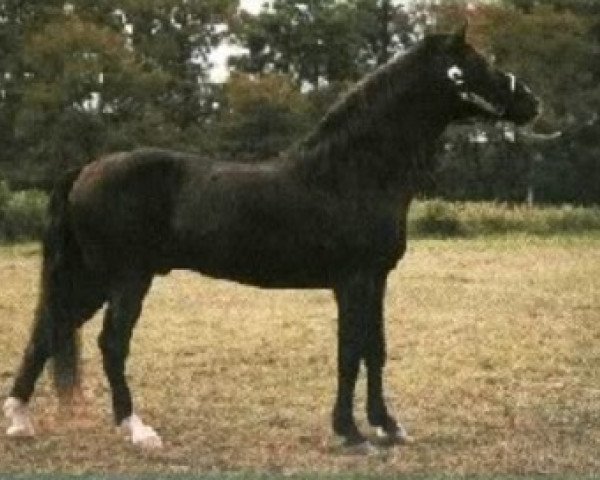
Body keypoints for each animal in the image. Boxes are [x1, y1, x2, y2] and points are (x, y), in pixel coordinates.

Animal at [3, 29, 540, 450]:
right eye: (477, 64)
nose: (531, 102)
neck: (350, 173)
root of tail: (85, 169)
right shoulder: (352, 281)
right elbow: (350, 351)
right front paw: (350, 433)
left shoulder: (377, 280)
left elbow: (375, 349)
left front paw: (387, 426)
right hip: (125, 279)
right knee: (110, 343)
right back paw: (136, 429)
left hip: (92, 279)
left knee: (49, 331)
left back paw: (20, 421)